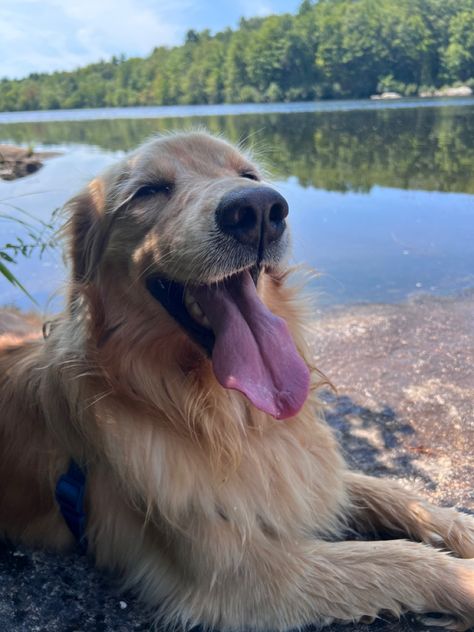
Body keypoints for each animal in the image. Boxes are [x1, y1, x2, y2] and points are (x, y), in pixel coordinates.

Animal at [0, 131, 472, 628]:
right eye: (148, 191)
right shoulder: (241, 575)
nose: (259, 210)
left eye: (249, 176)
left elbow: (388, 491)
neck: (223, 414)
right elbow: (397, 560)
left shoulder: (304, 474)